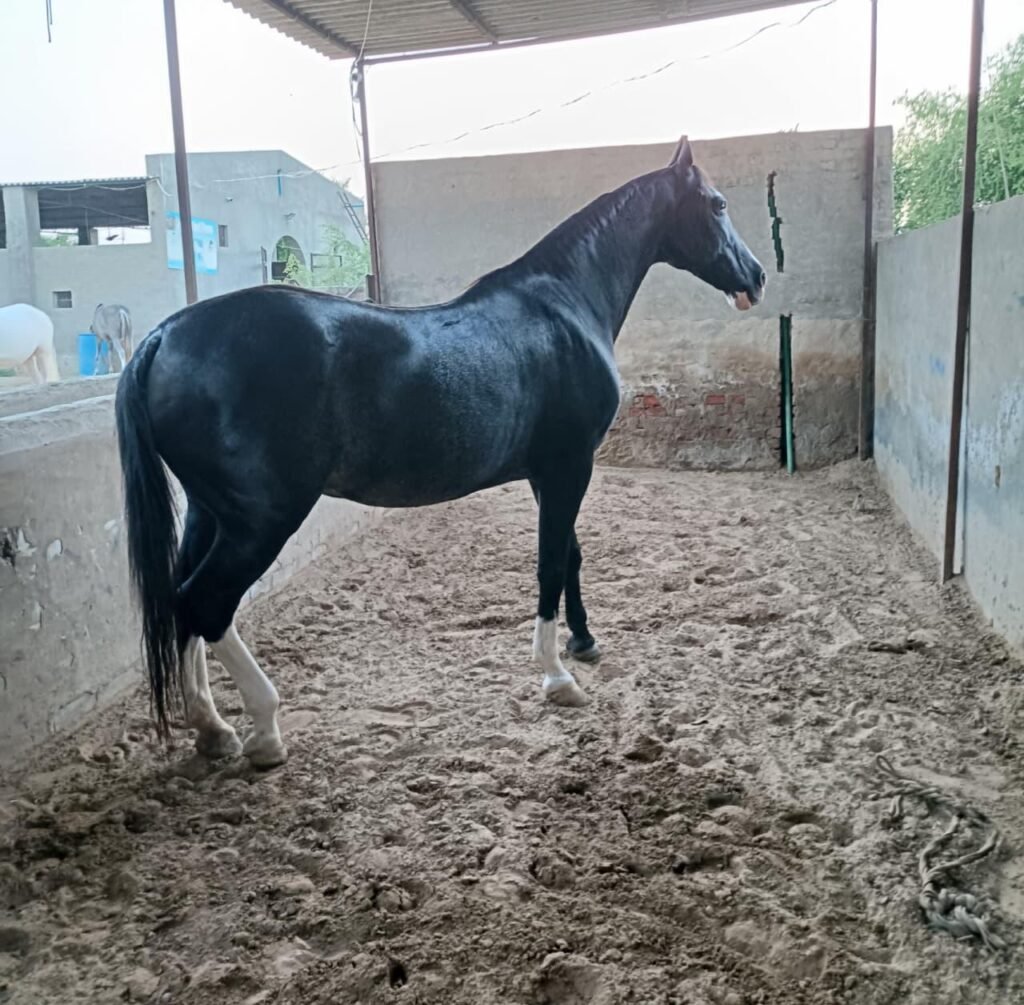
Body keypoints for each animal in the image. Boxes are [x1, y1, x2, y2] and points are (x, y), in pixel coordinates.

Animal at [115, 137, 765, 768]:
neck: (564, 305)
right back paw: (265, 732)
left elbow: (571, 555)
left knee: (180, 602)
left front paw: (583, 642)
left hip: (210, 511)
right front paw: (557, 677)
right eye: (717, 204)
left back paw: (213, 728)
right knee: (206, 604)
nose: (756, 277)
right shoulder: (569, 465)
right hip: (263, 519)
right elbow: (550, 563)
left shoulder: (550, 471)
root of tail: (163, 337)